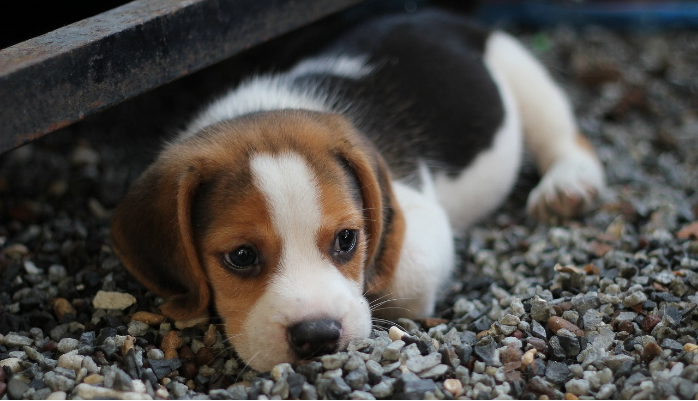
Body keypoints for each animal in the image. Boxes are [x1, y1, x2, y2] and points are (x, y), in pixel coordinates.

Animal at [110, 9, 604, 370]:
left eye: (347, 239)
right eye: (242, 257)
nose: (317, 336)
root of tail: (435, 15)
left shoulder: (419, 219)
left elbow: (398, 275)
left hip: (520, 70)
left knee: (564, 135)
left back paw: (568, 184)